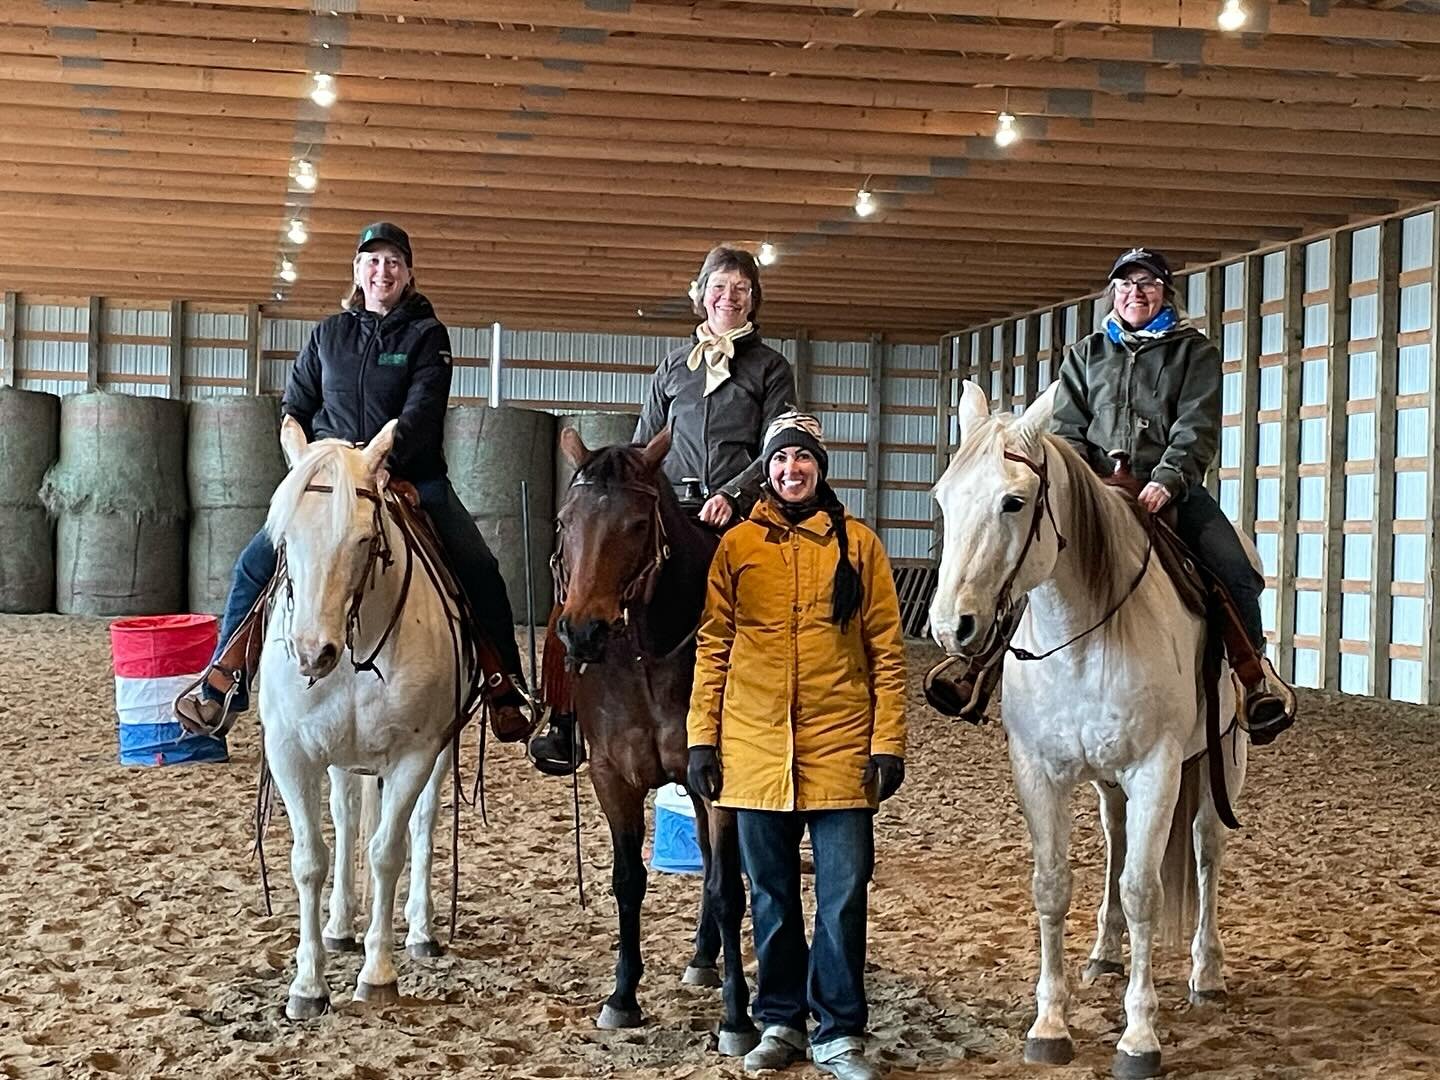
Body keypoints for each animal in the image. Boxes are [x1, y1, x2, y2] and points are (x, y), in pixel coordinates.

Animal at [262, 417, 457, 1019]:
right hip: (339, 758)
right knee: (346, 820)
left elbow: (388, 852)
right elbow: (311, 859)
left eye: (365, 540)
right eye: (283, 539)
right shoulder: (292, 754)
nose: (311, 654)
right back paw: (340, 926)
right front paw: (307, 986)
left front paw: (378, 974)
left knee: (422, 824)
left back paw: (420, 931)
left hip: (440, 751)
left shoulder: (415, 754)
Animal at [544, 429, 760, 1059]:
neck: (646, 655)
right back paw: (702, 958)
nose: (583, 632)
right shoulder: (612, 779)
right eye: (565, 520)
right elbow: (627, 882)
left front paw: (737, 1018)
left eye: (638, 523)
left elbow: (728, 889)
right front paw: (622, 998)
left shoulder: (718, 784)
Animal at [927, 383, 1244, 1080]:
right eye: (942, 498)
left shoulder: (1156, 771)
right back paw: (1104, 954)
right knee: (1117, 842)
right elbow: (1053, 886)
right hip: (1108, 785)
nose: (951, 626)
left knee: (1206, 850)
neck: (1083, 634)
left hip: (1222, 763)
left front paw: (1139, 1037)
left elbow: (1144, 891)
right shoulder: (1039, 772)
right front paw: (1050, 1025)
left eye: (1014, 501)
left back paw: (1208, 976)